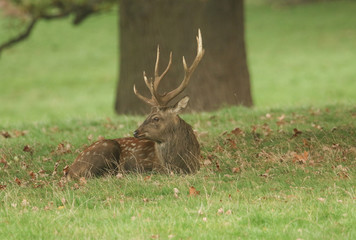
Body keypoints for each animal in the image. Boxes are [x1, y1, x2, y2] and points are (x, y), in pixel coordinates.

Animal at [65, 29, 204, 179]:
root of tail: (70, 169)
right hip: (105, 149)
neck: (182, 164)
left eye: (156, 118)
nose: (136, 132)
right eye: (147, 115)